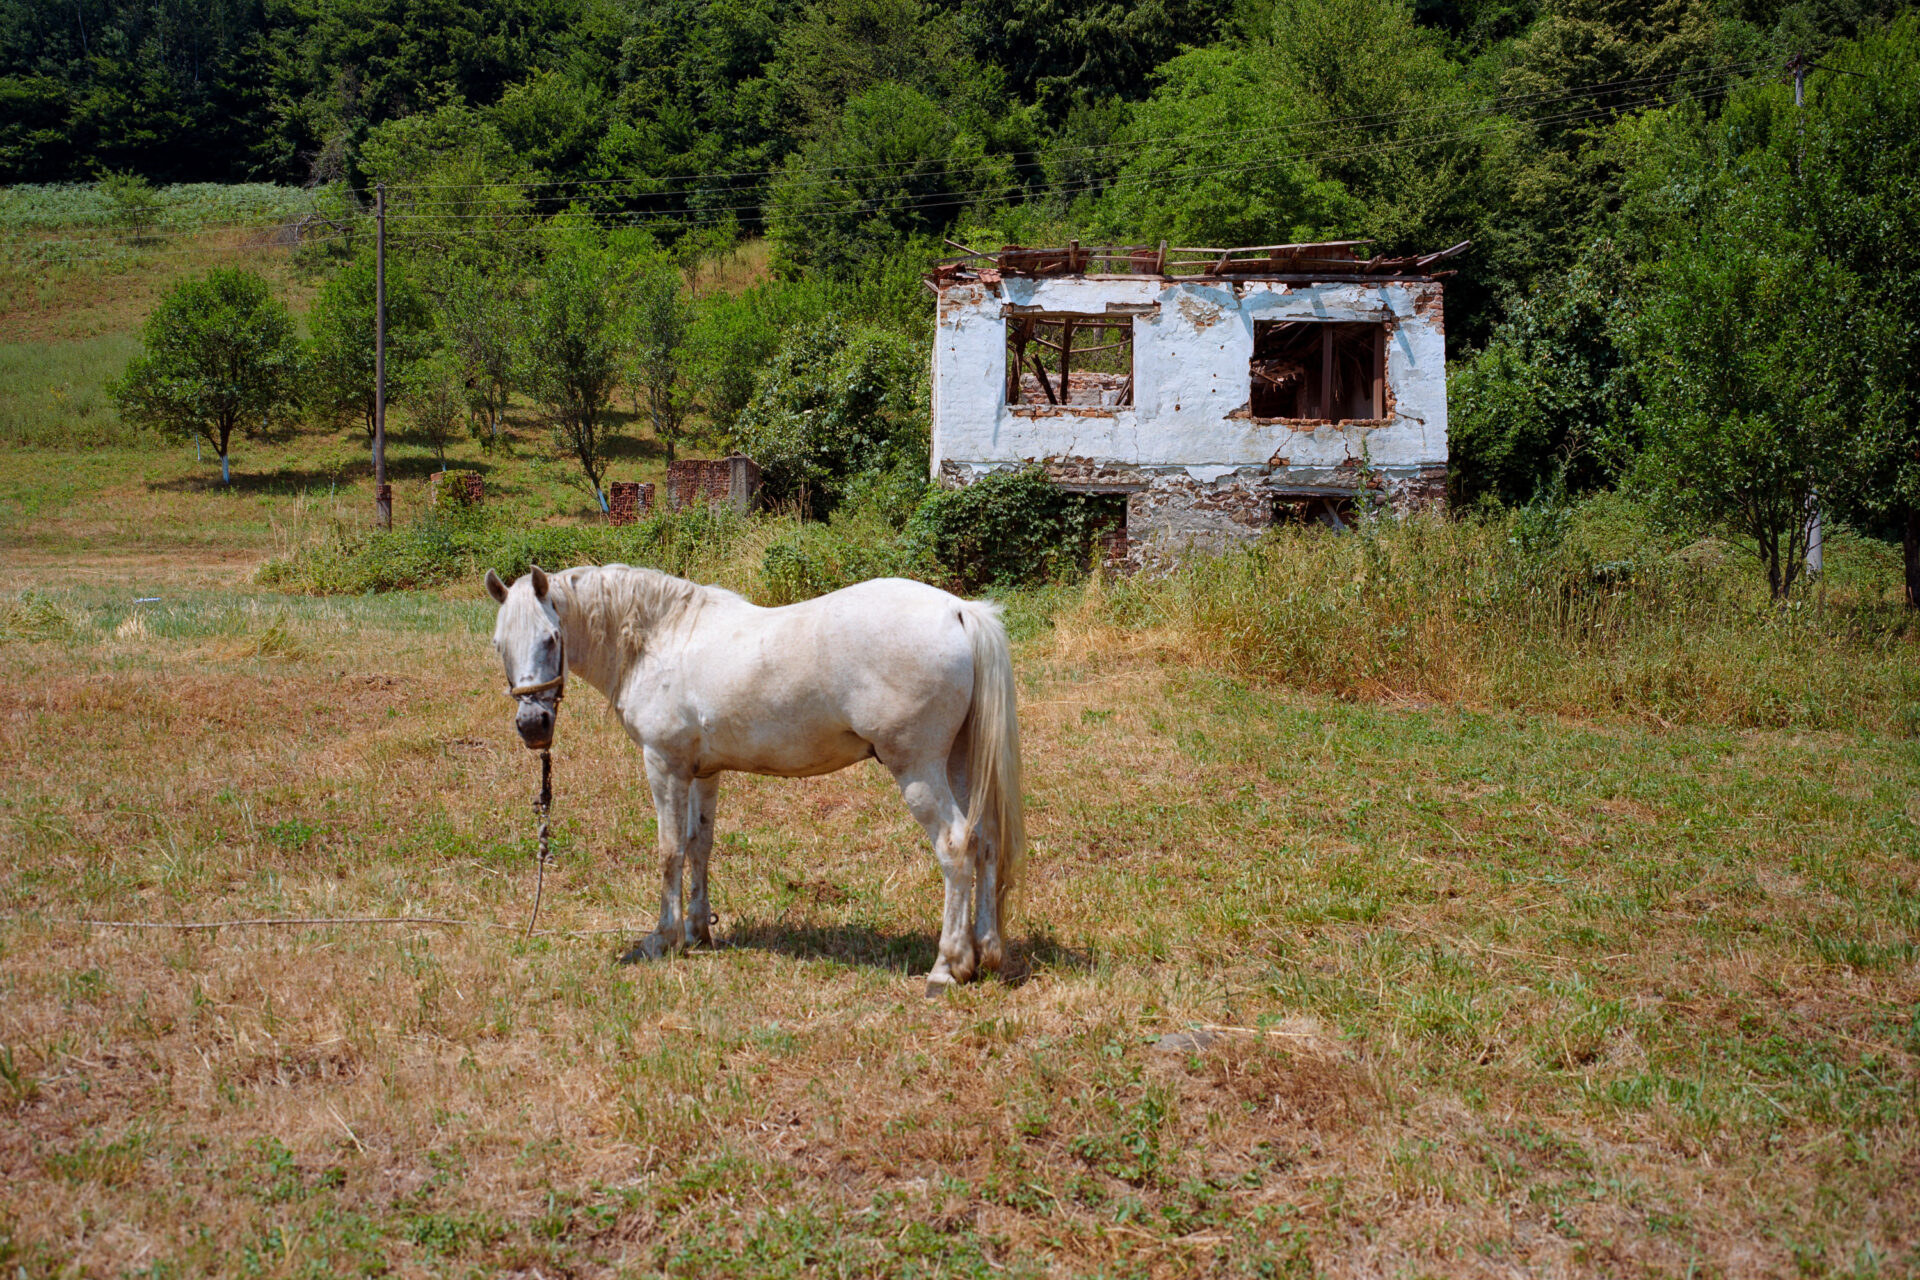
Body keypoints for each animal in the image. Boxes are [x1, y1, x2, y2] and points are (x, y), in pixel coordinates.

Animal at [484, 563, 1025, 994]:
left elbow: (669, 850)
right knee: (985, 840)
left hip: (918, 769)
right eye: (499, 644)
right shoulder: (703, 772)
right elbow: (699, 845)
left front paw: (662, 938)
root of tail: (958, 610)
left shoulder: (664, 765)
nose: (533, 726)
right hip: (959, 762)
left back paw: (947, 967)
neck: (659, 641)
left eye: (551, 638)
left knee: (955, 846)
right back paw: (987, 952)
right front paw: (699, 932)